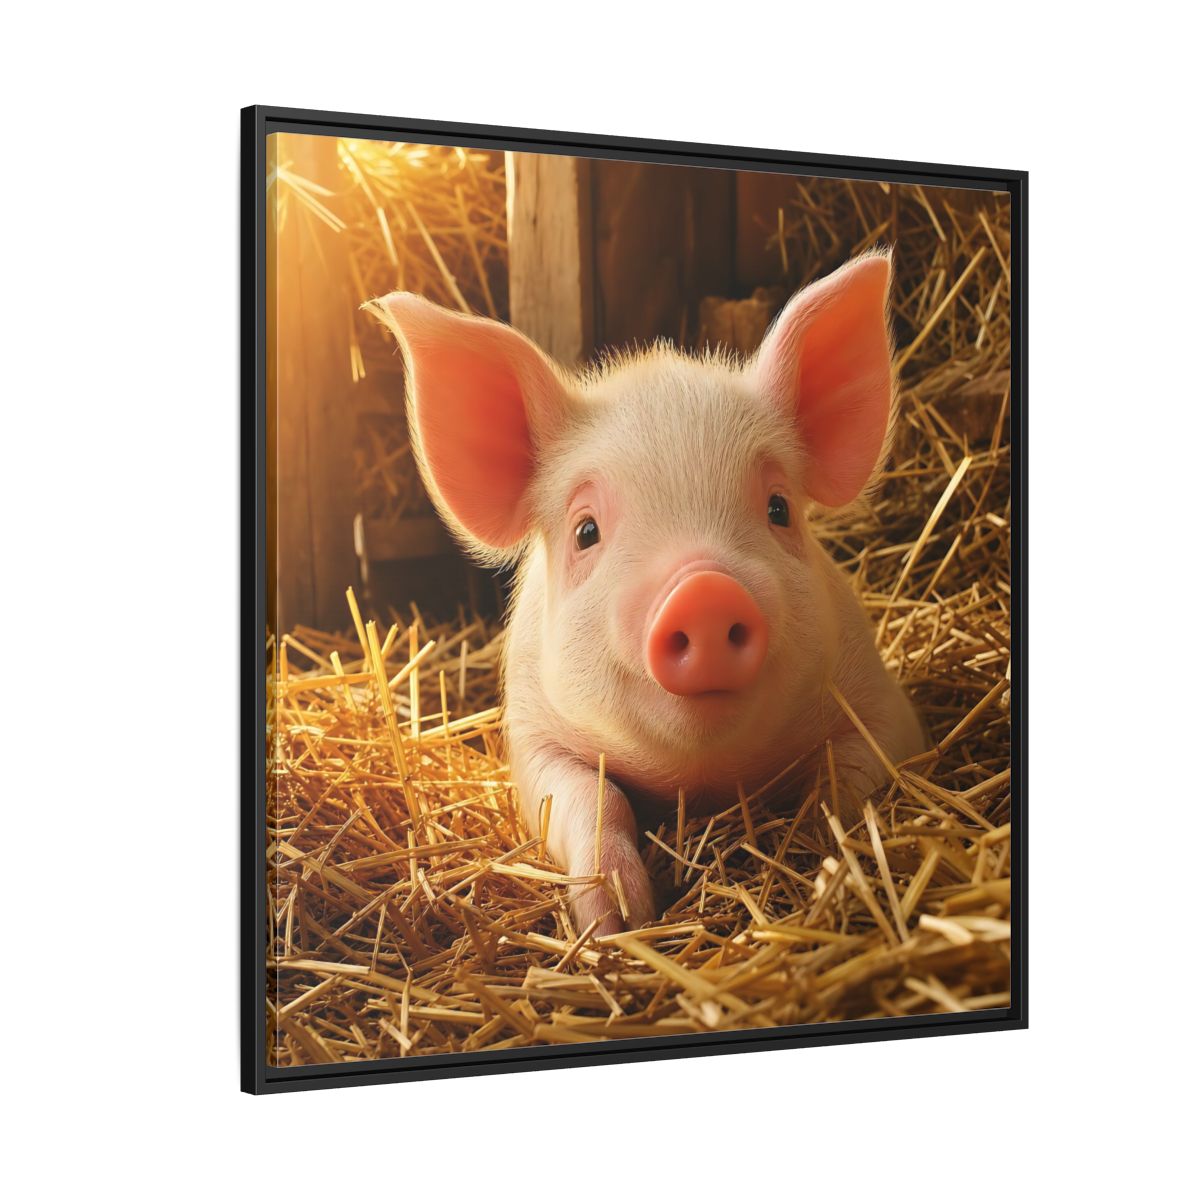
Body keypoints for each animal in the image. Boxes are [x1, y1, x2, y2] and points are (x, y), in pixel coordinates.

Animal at [368, 251, 926, 937]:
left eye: (779, 508)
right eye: (586, 531)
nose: (704, 591)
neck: (702, 779)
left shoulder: (881, 703)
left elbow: (846, 776)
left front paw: (825, 859)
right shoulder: (531, 735)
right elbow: (592, 797)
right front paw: (618, 923)